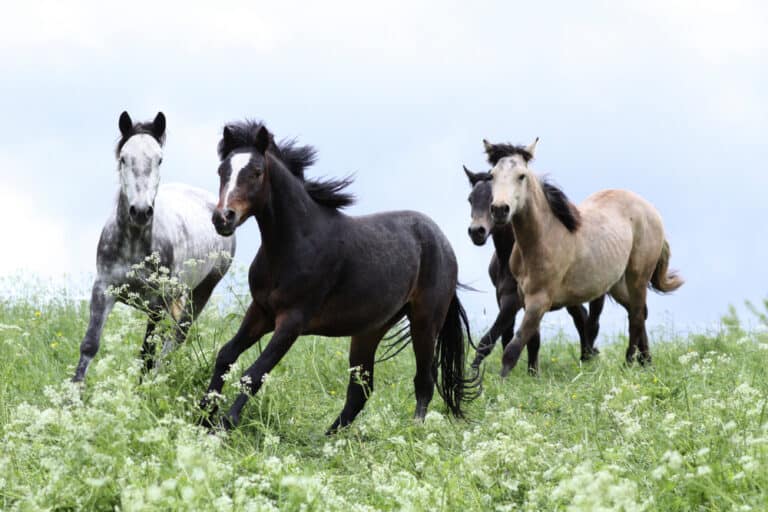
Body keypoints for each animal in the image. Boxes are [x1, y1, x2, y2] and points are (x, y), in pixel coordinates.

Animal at [72, 111, 236, 383]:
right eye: (123, 158)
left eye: (159, 159)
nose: (140, 211)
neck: (134, 244)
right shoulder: (103, 290)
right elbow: (90, 345)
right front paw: (72, 393)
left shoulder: (157, 302)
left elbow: (147, 353)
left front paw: (143, 390)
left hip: (201, 291)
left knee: (176, 338)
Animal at [200, 120, 480, 433]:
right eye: (222, 170)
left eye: (256, 172)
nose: (223, 218)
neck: (294, 244)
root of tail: (443, 243)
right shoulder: (260, 311)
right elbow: (226, 355)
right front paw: (203, 416)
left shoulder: (292, 320)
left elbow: (254, 373)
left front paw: (225, 424)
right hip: (370, 329)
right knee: (360, 391)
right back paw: (329, 437)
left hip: (425, 321)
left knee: (424, 382)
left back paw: (413, 430)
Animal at [463, 165, 603, 372]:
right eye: (471, 198)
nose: (476, 232)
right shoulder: (504, 297)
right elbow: (514, 337)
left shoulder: (515, 301)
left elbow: (491, 340)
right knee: (581, 317)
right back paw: (586, 357)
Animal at [485, 138, 683, 376]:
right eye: (492, 175)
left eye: (521, 175)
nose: (499, 210)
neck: (541, 239)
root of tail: (651, 209)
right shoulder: (525, 298)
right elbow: (532, 342)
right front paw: (533, 375)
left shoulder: (539, 300)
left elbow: (512, 349)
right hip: (617, 284)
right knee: (639, 312)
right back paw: (647, 363)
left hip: (638, 277)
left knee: (635, 317)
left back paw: (628, 365)